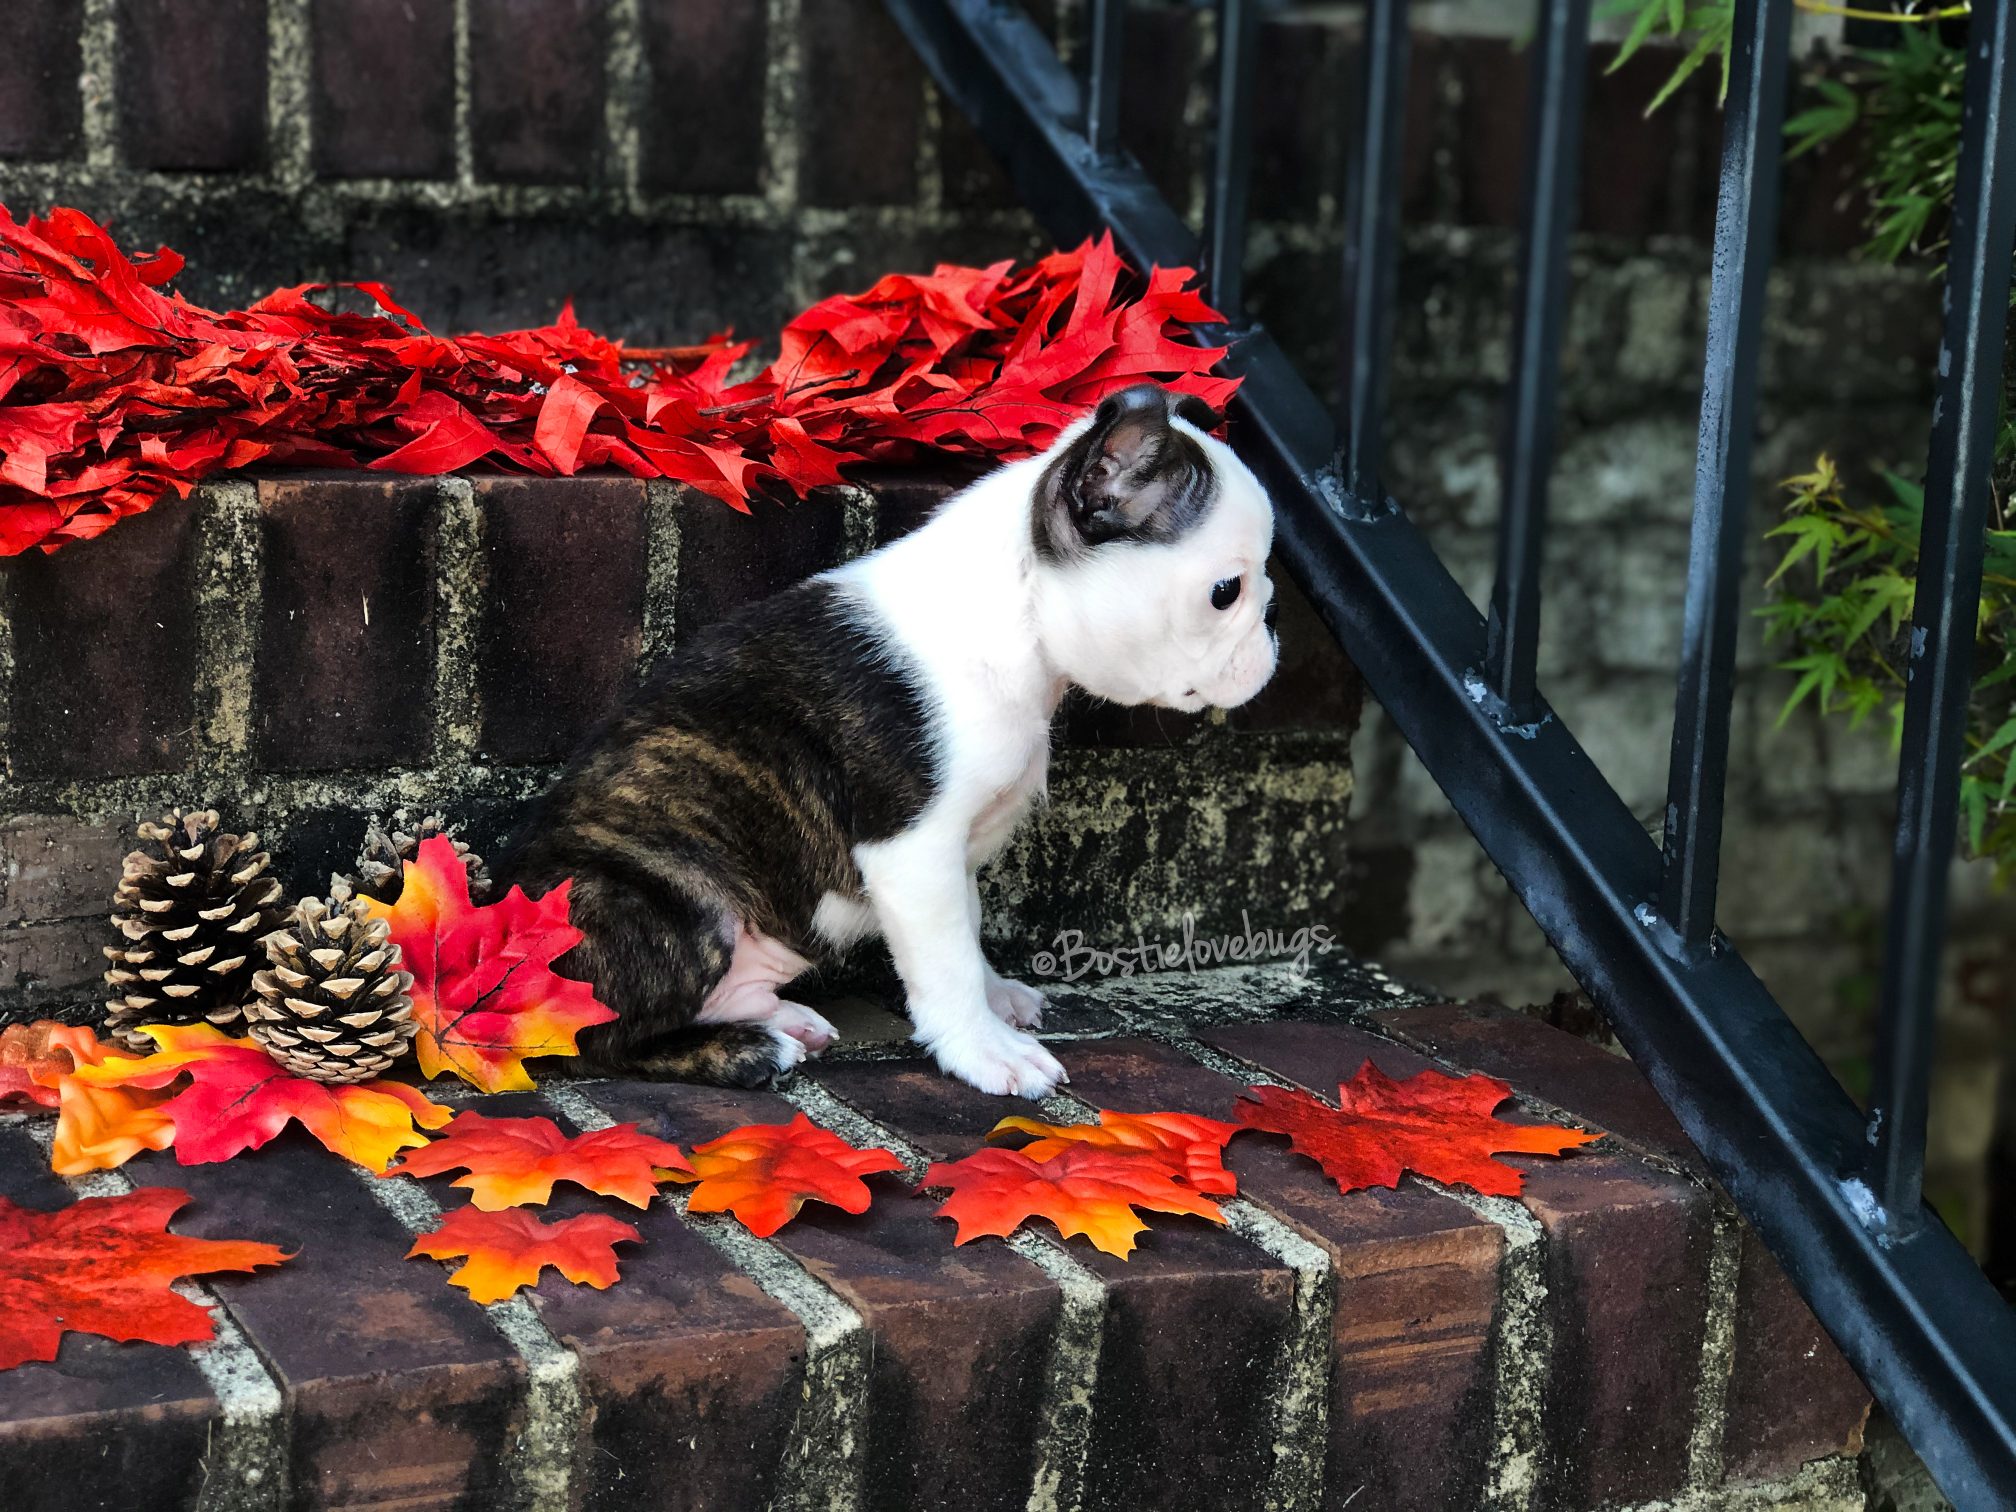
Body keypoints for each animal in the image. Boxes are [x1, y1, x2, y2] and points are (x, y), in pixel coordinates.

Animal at [505, 384, 1279, 1097]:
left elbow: (968, 926)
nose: (1275, 631)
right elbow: (946, 958)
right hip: (667, 902)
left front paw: (996, 997)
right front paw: (984, 1048)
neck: (1020, 615)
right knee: (599, 1040)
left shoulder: (955, 850)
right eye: (1226, 592)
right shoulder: (913, 847)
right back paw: (747, 1050)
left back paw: (778, 1019)